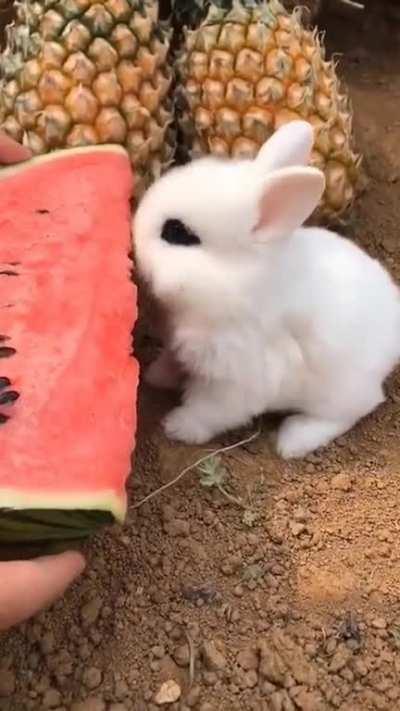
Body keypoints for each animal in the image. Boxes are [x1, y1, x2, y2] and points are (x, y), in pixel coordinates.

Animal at [133, 120, 400, 459]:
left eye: (178, 232)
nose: (132, 231)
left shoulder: (236, 382)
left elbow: (208, 411)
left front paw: (177, 427)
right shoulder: (181, 351)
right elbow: (171, 363)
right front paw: (156, 375)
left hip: (338, 393)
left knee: (351, 412)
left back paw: (293, 441)